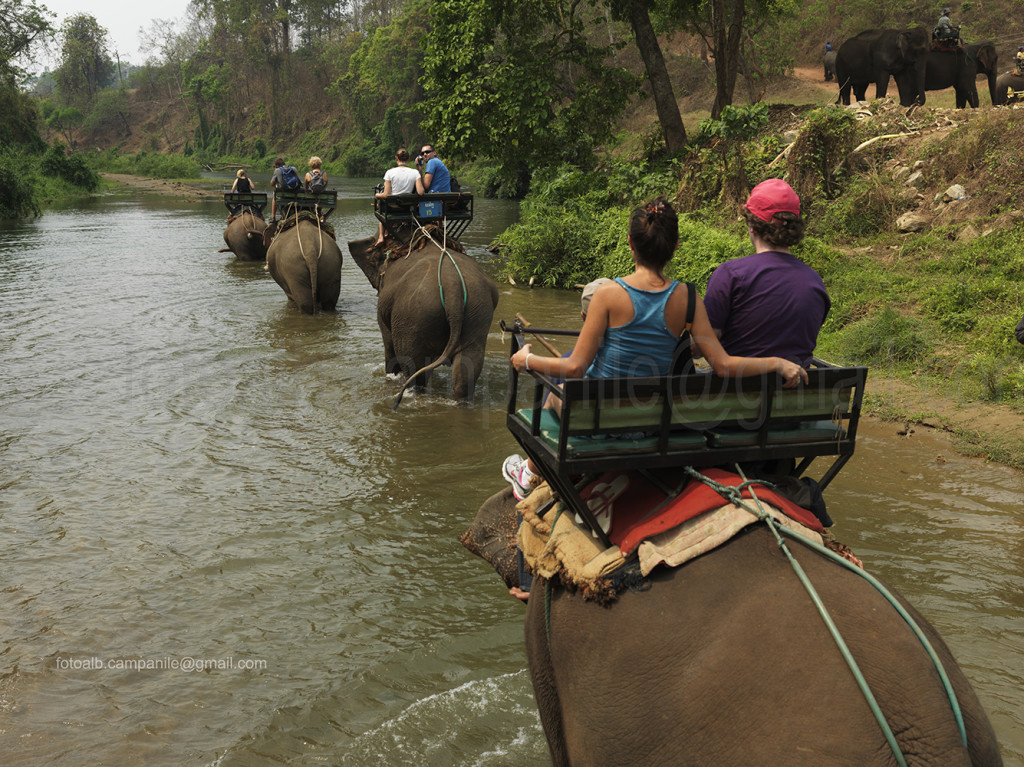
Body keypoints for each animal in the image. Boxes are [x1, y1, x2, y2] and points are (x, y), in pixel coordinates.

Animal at [348, 234, 499, 407]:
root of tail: (452, 288)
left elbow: (389, 345)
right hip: (478, 312)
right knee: (468, 365)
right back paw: (461, 403)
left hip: (412, 318)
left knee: (413, 367)